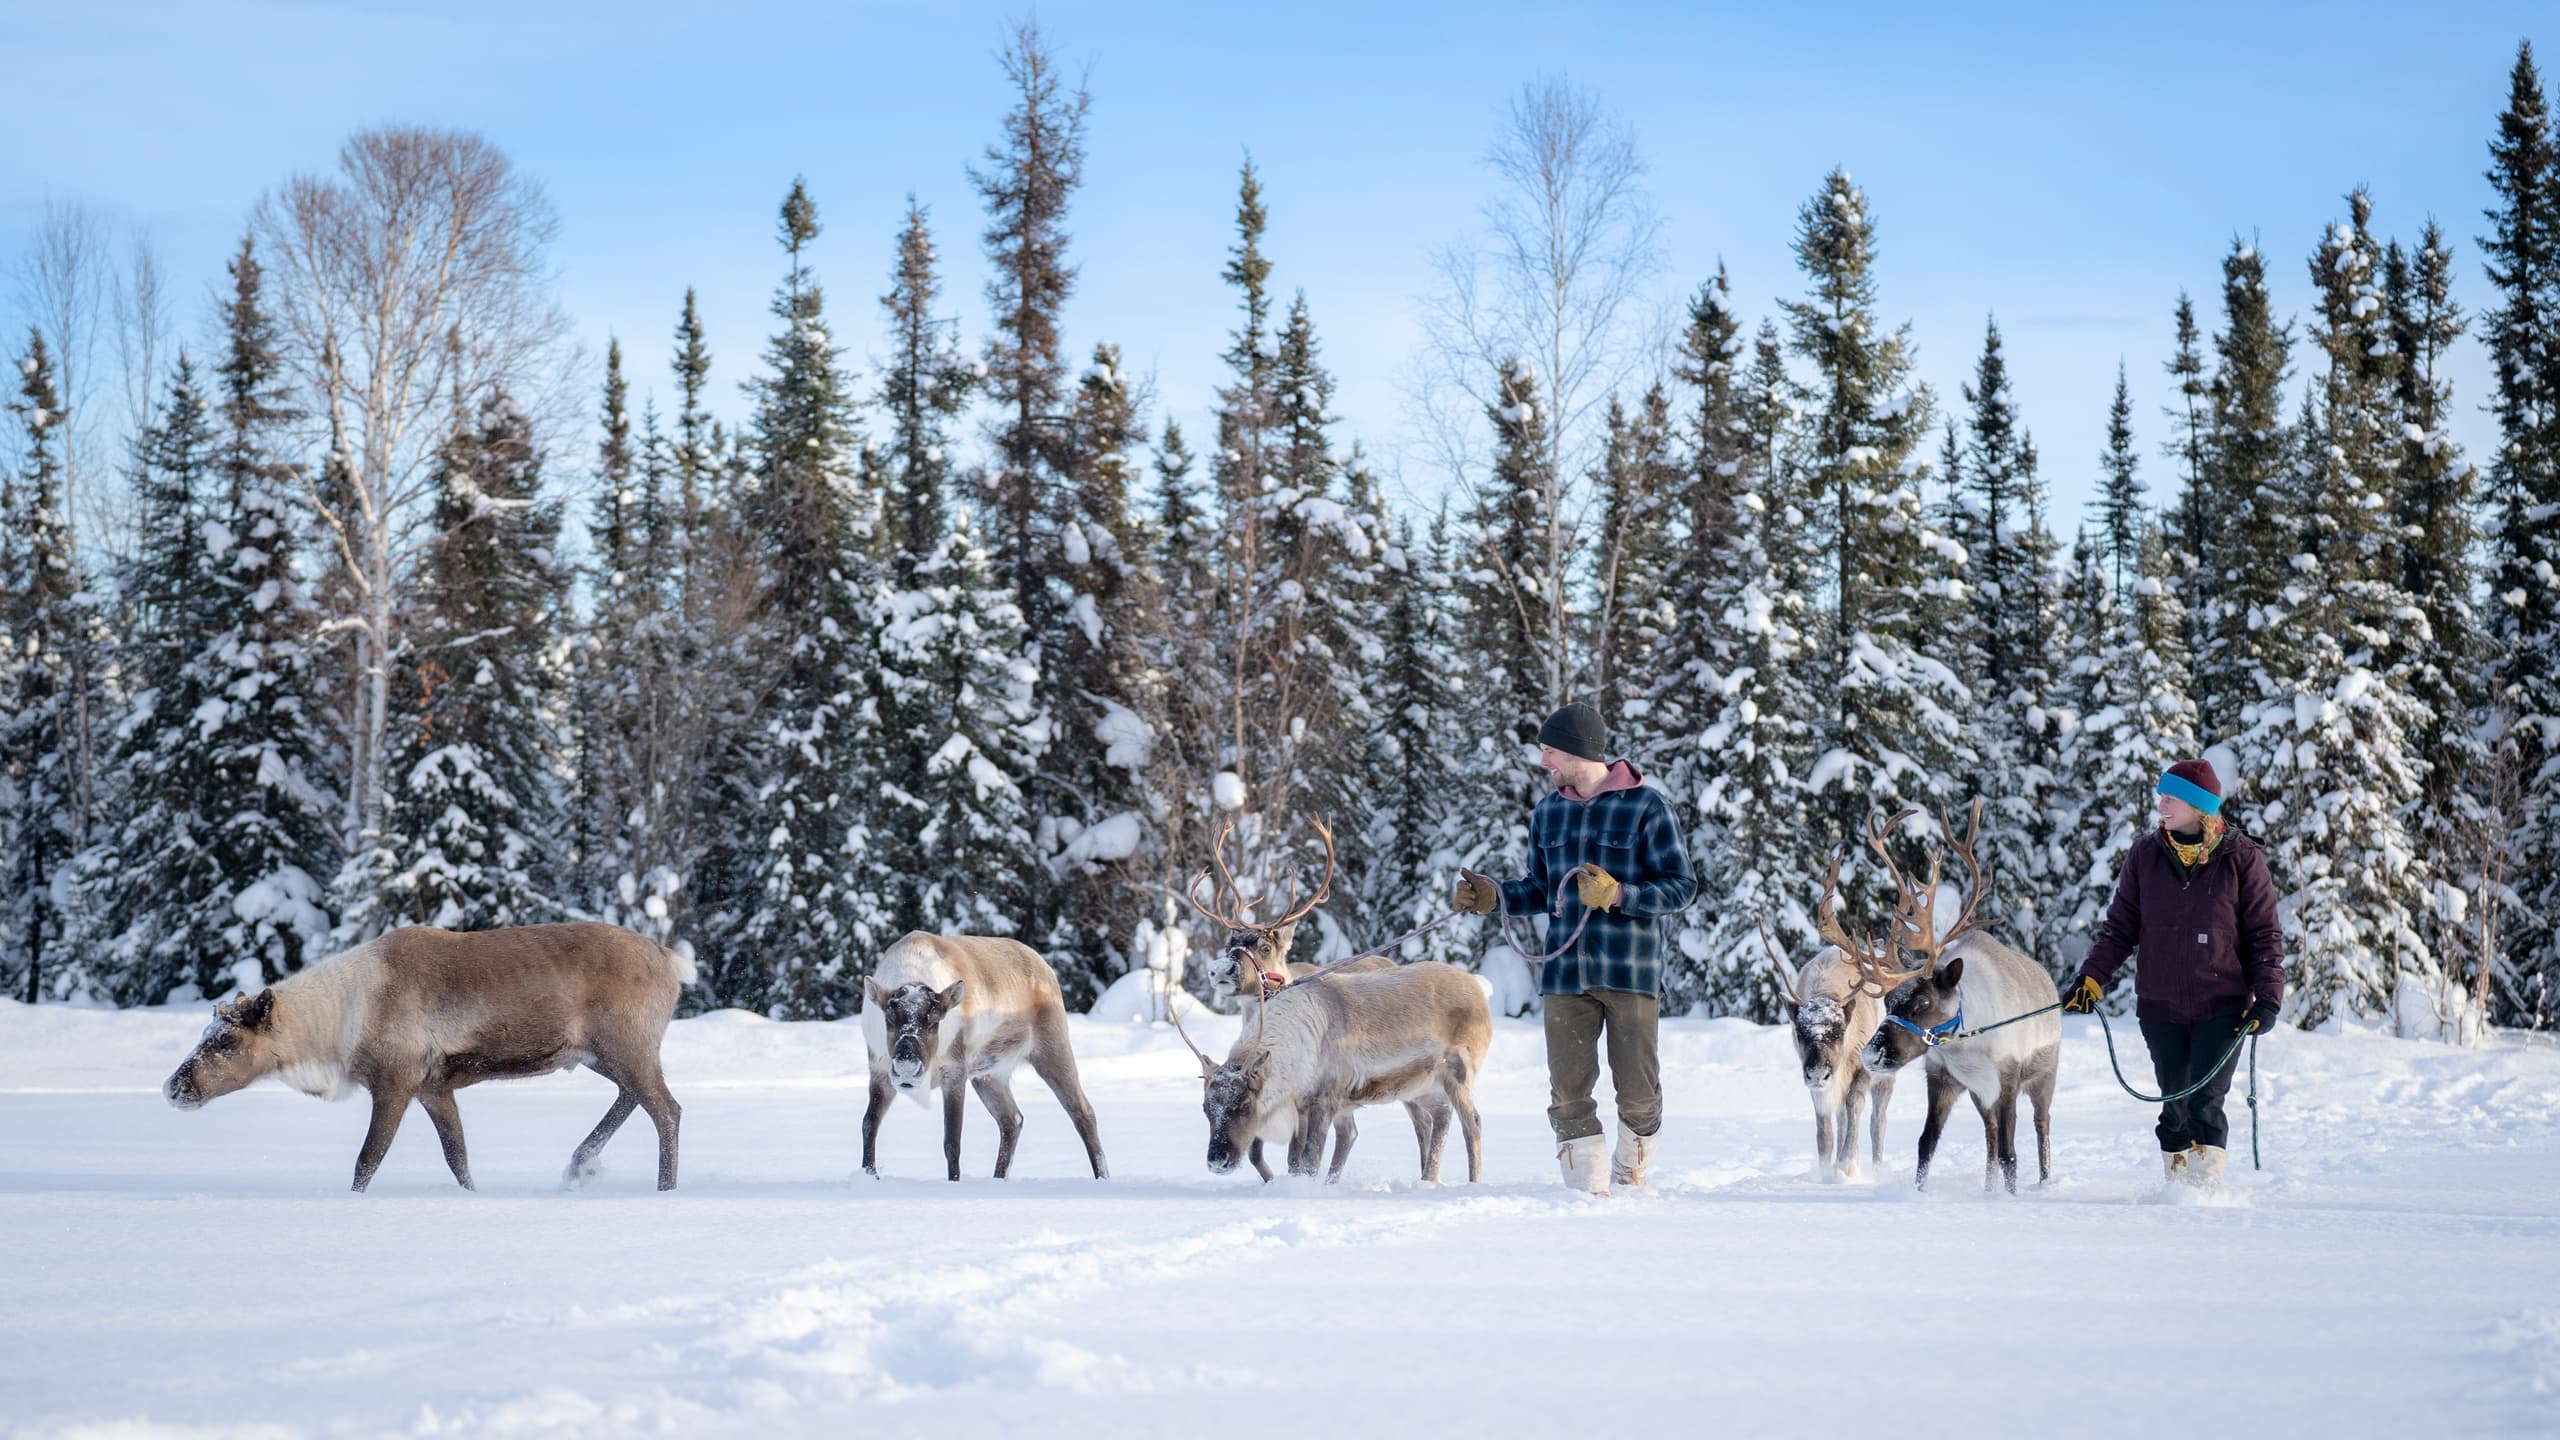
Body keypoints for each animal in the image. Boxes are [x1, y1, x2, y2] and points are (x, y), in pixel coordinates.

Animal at [162, 922, 692, 1192]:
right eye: (206, 1033)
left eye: (226, 1042)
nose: (173, 1087)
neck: (337, 1029)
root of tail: (672, 961)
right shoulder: (435, 1087)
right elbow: (458, 1158)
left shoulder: (395, 1080)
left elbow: (367, 1161)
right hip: (606, 1053)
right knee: (633, 1098)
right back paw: (580, 1164)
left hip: (624, 1043)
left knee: (667, 1109)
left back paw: (663, 1190)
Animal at [860, 931, 1109, 1182]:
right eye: (889, 1019)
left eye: (934, 1022)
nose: (907, 1069)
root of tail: (1045, 967)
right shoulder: (879, 1071)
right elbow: (869, 1124)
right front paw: (869, 1173)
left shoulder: (954, 1072)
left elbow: (952, 1141)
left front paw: (954, 1180)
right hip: (989, 1075)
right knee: (1012, 1119)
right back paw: (999, 1177)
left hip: (1051, 1049)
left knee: (1083, 1112)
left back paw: (1102, 1175)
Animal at [1853, 801, 2062, 1194]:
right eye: (1887, 1001)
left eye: (1922, 1003)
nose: (1872, 1054)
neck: (1965, 1046)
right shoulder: (1944, 1079)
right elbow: (1927, 1143)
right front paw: (1919, 1192)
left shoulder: (2007, 1080)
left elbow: (2011, 1153)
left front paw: (2011, 1198)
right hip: (1981, 1096)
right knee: (1990, 1135)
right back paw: (1988, 1189)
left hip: (2045, 1075)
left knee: (2041, 1127)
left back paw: (2043, 1183)